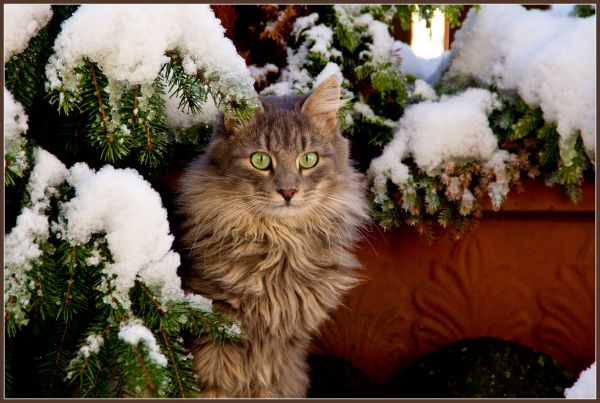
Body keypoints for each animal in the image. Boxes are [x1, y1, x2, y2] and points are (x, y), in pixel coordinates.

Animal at [176, 76, 368, 398]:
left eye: (309, 159)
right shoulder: (214, 339)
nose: (288, 191)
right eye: (260, 160)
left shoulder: (280, 356)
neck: (280, 246)